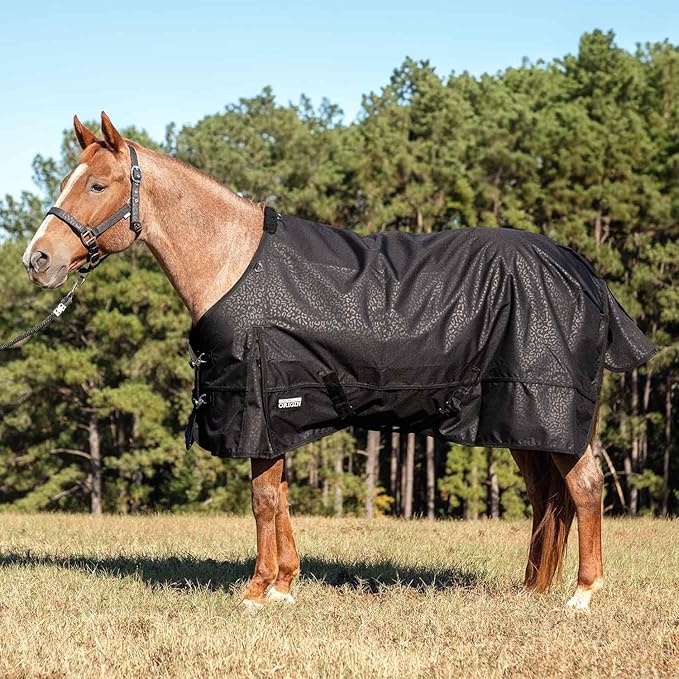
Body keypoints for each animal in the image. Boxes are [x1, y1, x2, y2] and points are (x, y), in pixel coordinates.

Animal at [22, 112, 653, 611]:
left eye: (97, 184)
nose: (37, 259)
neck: (233, 261)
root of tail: (581, 270)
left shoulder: (262, 405)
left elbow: (263, 500)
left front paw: (256, 591)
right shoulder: (279, 415)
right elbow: (278, 498)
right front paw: (284, 585)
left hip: (550, 410)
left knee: (585, 487)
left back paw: (582, 594)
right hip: (518, 418)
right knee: (550, 497)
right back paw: (532, 590)